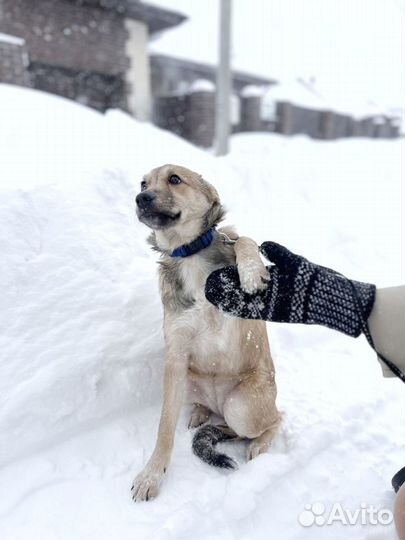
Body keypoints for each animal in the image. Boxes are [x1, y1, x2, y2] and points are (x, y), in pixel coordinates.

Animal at [131, 165, 280, 502]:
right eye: (144, 183)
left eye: (174, 179)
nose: (140, 198)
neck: (188, 253)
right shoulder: (176, 354)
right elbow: (164, 427)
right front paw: (152, 475)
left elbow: (243, 239)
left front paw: (251, 271)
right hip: (188, 381)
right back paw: (201, 413)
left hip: (242, 406)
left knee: (276, 419)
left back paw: (259, 444)